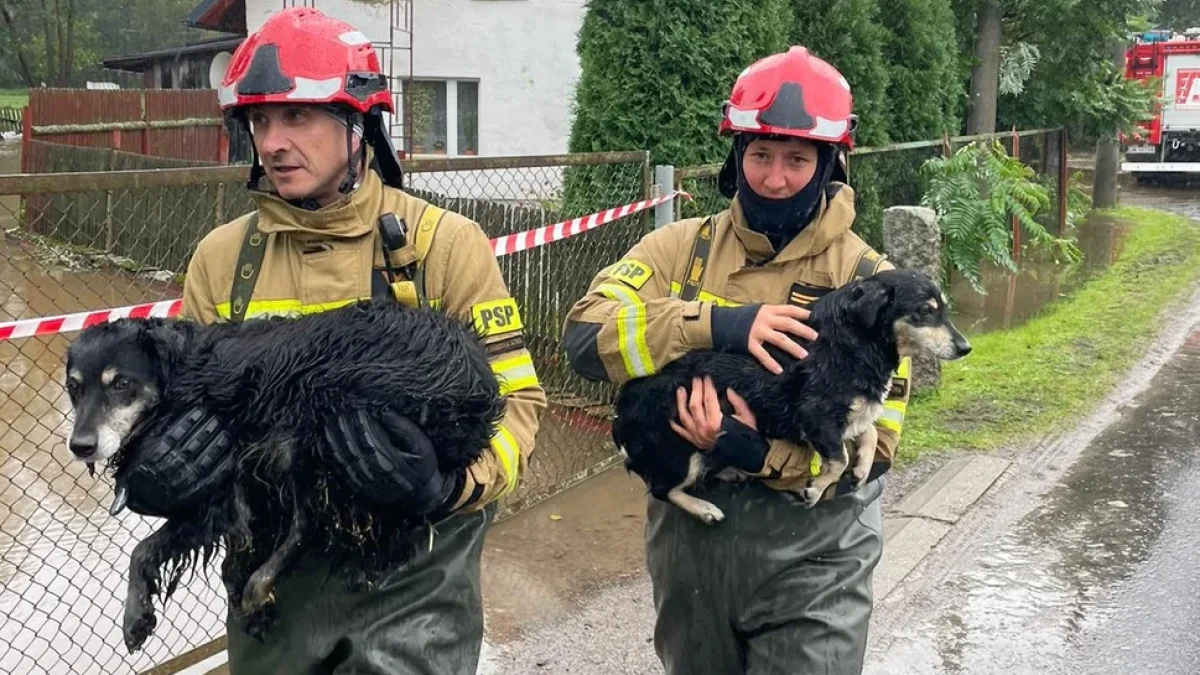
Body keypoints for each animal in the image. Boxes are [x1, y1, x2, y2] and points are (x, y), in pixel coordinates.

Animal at [614, 266, 969, 521]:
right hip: (677, 451)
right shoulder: (816, 416)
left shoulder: (848, 416)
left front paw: (862, 468)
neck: (851, 341)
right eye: (925, 311)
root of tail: (620, 412)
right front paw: (816, 488)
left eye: (943, 309)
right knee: (662, 489)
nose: (966, 347)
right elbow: (838, 458)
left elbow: (867, 433)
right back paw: (705, 509)